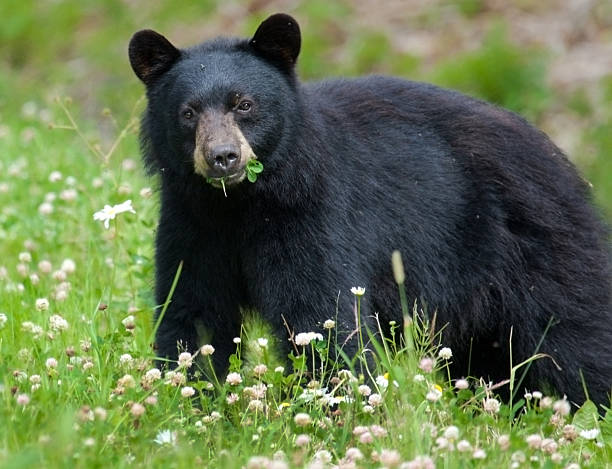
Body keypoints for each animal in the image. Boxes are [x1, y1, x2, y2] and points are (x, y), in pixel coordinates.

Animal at [129, 12, 612, 404]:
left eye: (244, 104)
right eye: (188, 113)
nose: (223, 157)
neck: (241, 204)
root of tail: (564, 164)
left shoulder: (313, 214)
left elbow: (322, 313)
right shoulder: (192, 221)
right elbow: (192, 310)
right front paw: (186, 402)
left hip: (540, 249)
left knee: (577, 336)